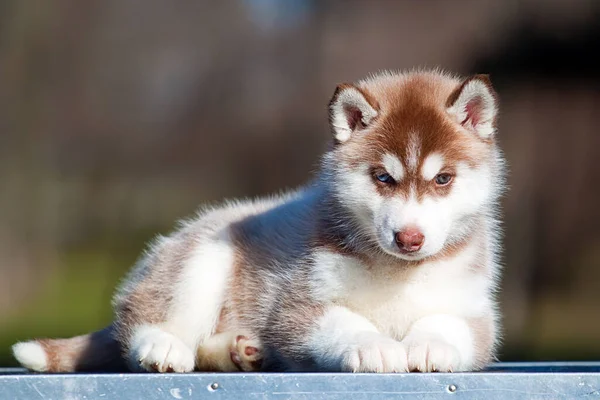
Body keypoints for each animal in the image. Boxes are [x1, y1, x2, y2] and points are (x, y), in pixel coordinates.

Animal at [11, 68, 504, 372]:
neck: (399, 272)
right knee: (148, 324)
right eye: (383, 177)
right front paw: (375, 346)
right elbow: (346, 322)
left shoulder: (475, 312)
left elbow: (450, 324)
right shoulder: (299, 307)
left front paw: (430, 344)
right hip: (203, 259)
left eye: (443, 179)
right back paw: (163, 346)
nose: (409, 238)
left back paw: (240, 351)